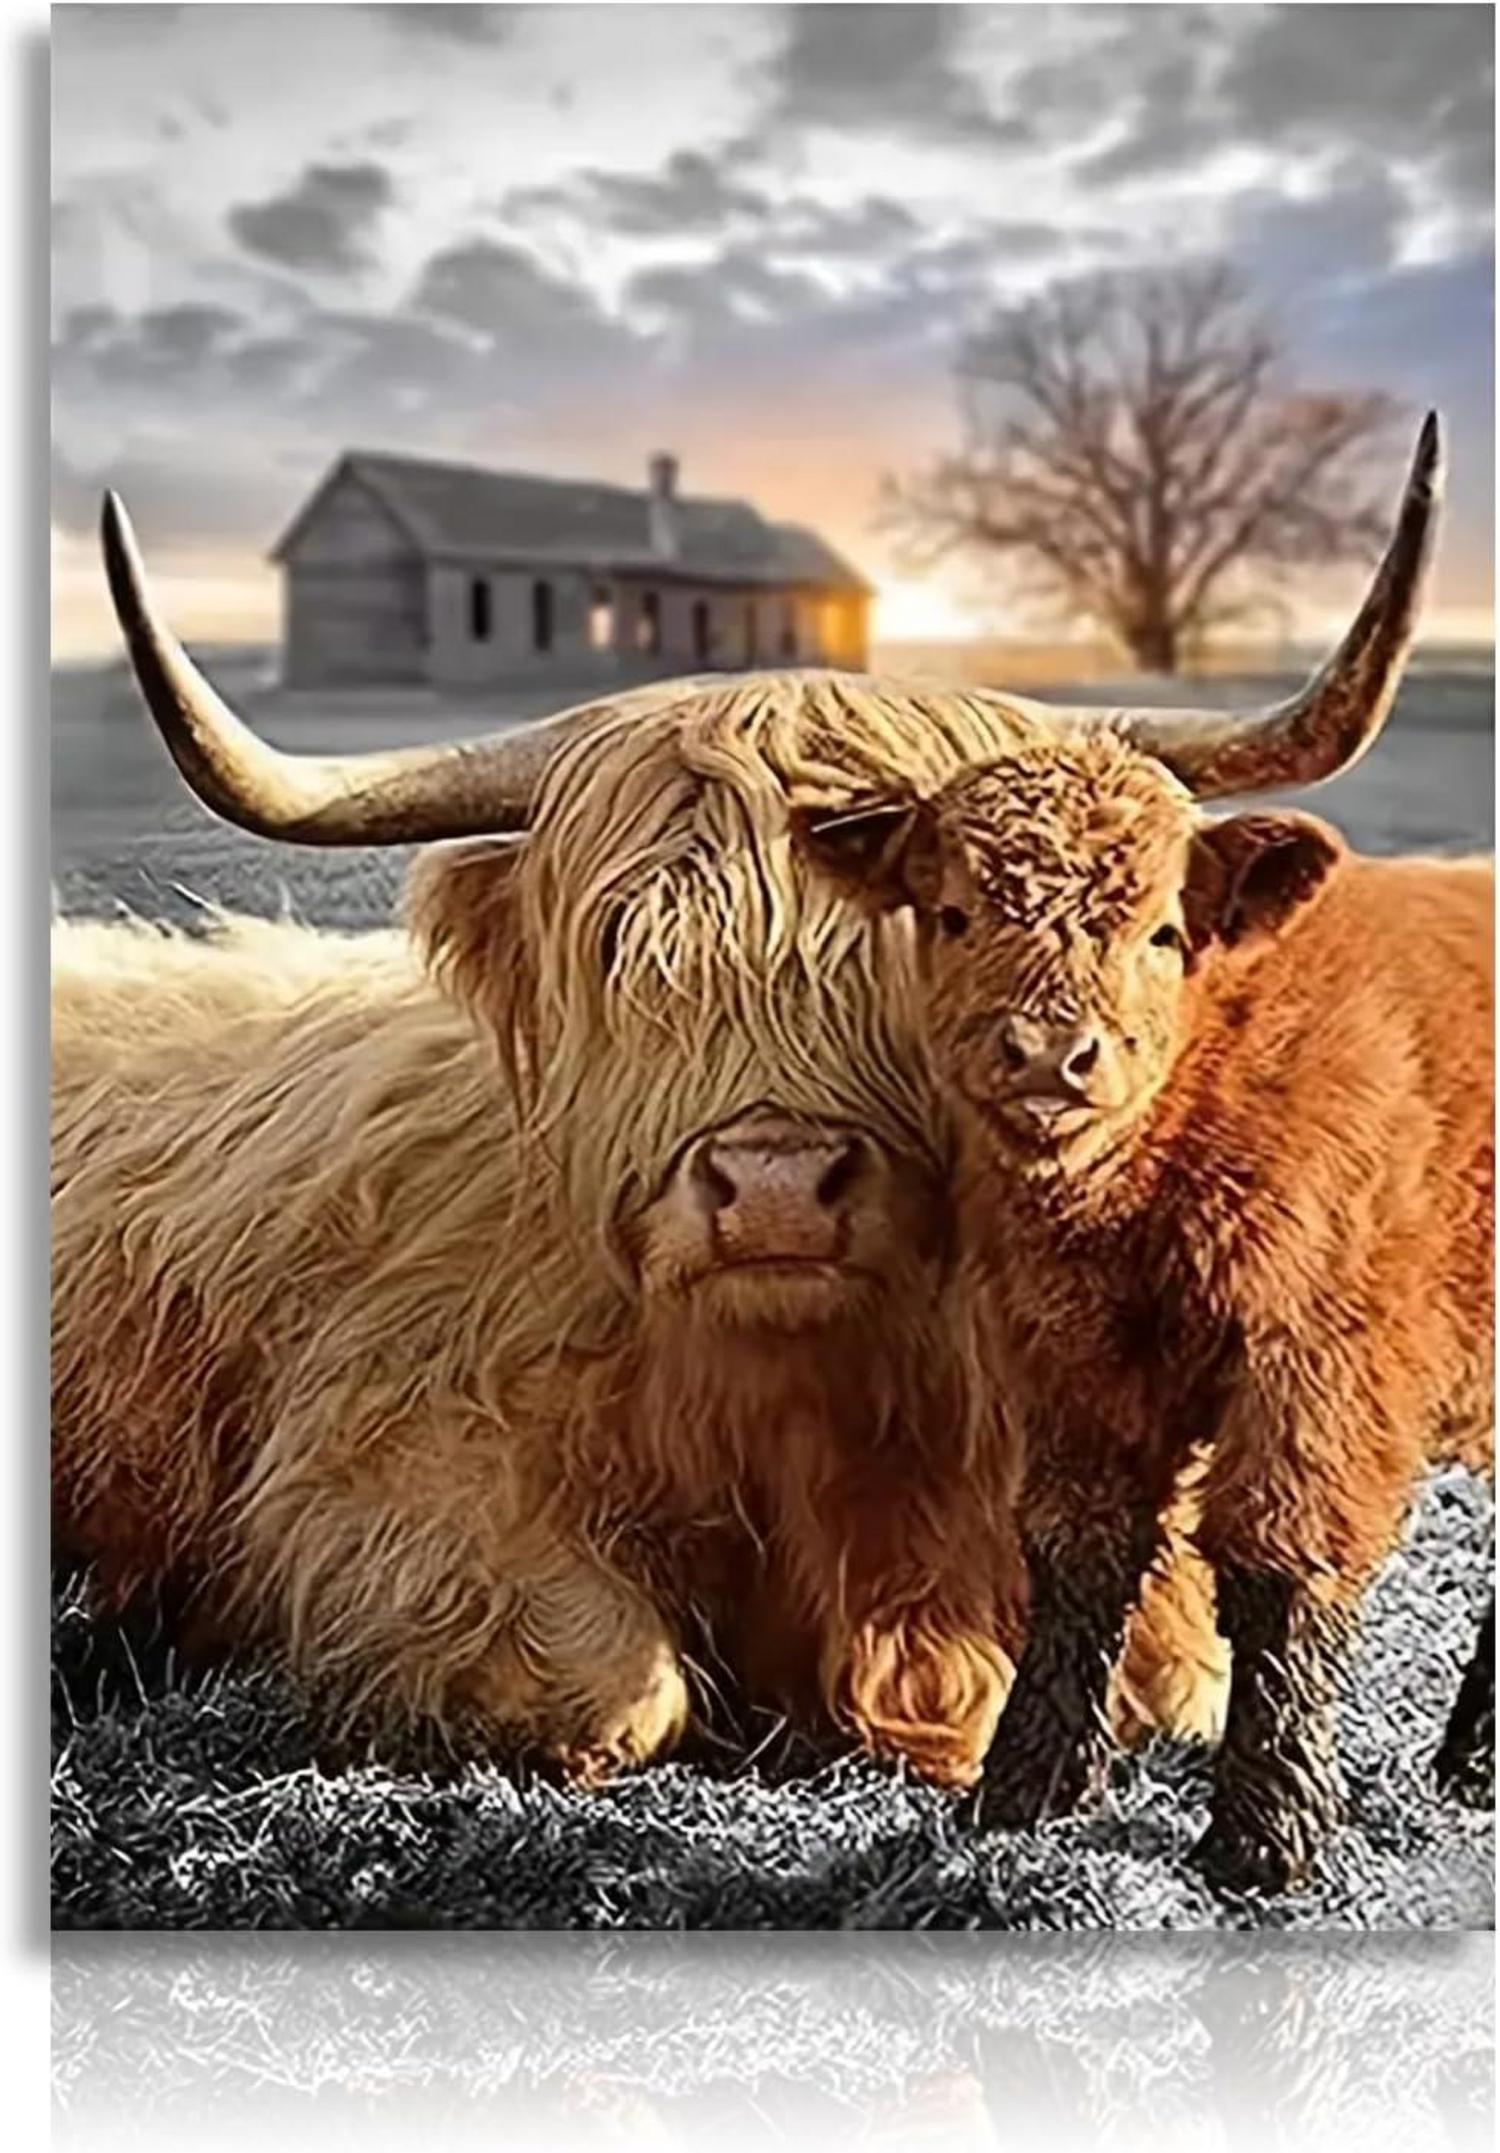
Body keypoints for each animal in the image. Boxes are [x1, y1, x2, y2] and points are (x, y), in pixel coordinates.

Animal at [792, 415, 1495, 1890]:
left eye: (1165, 927)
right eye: (950, 911)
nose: (1051, 1057)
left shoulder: (1322, 1363)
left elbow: (1277, 1564)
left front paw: (1268, 1837)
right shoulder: (1067, 1355)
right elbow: (1079, 1545)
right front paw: (1024, 1795)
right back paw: (1473, 1764)